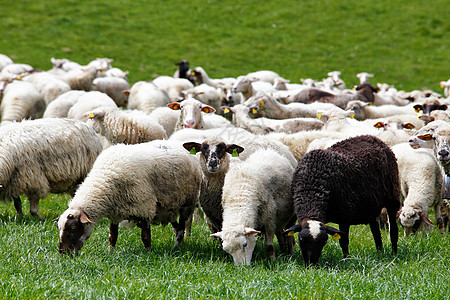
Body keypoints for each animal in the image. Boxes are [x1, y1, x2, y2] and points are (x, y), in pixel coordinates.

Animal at [56, 140, 202, 253]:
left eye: (73, 228)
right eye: (59, 228)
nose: (63, 252)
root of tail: (187, 151)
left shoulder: (144, 208)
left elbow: (146, 237)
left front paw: (148, 253)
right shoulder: (115, 213)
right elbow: (112, 236)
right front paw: (111, 252)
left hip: (186, 204)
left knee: (181, 230)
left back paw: (176, 247)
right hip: (168, 209)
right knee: (177, 228)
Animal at [284, 135, 400, 264]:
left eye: (324, 241)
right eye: (301, 239)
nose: (312, 264)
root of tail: (373, 137)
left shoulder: (345, 215)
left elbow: (344, 241)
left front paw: (346, 260)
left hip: (392, 197)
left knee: (393, 229)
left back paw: (394, 253)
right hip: (370, 206)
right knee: (375, 230)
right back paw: (380, 252)